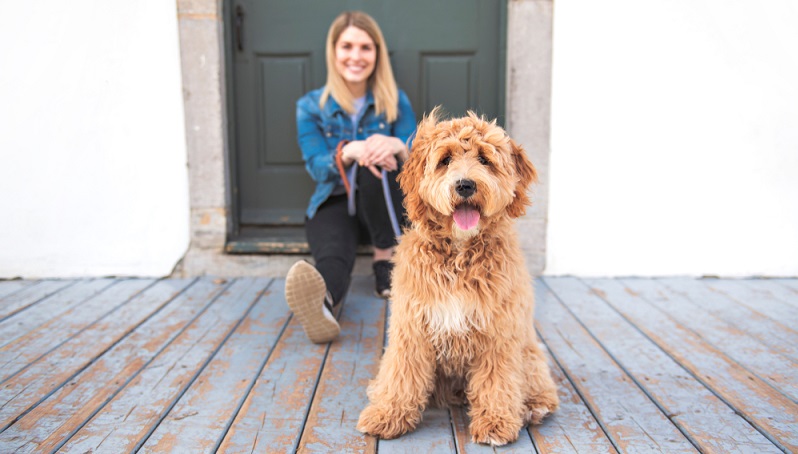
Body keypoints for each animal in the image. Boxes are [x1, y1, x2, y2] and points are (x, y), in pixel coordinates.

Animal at [360, 111, 560, 446]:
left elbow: (497, 381)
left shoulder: (498, 333)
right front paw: (388, 414)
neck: (458, 255)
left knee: (537, 384)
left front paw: (495, 422)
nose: (465, 185)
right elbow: (402, 372)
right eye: (445, 160)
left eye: (484, 159)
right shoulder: (411, 327)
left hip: (529, 352)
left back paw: (534, 407)